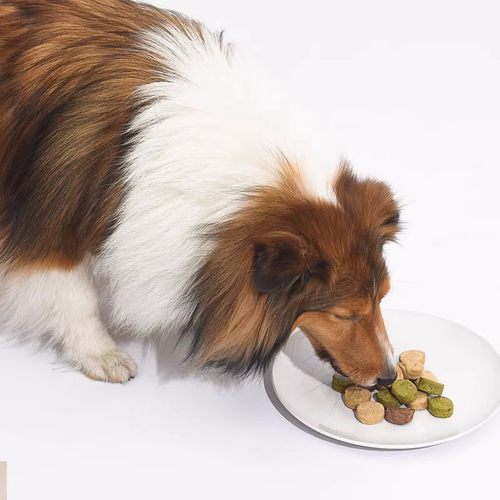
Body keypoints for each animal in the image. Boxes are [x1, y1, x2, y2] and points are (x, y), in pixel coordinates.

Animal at [0, 0, 398, 386]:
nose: (389, 376)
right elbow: (75, 298)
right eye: (344, 315)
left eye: (382, 298)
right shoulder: (52, 228)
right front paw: (102, 354)